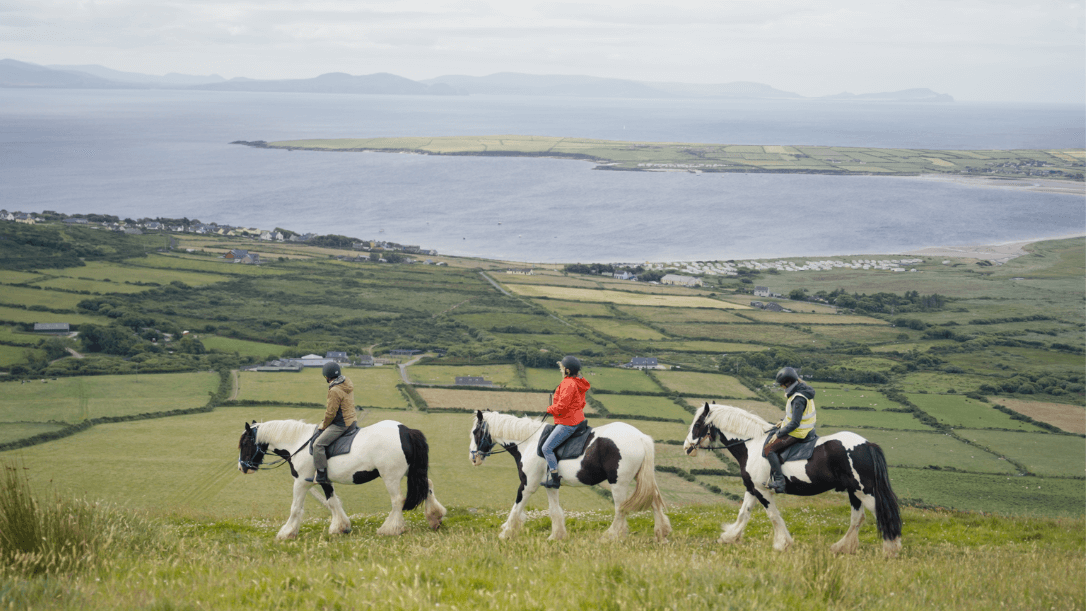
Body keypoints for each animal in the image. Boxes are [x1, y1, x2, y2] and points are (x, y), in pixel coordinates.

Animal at [237, 418, 445, 538]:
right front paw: (340, 527)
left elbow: (295, 508)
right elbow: (332, 502)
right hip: (412, 471)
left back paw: (390, 529)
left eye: (245, 443)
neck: (297, 443)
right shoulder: (324, 480)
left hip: (390, 476)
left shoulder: (301, 482)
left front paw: (286, 532)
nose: (242, 467)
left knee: (397, 500)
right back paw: (435, 518)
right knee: (428, 485)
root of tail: (406, 431)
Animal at [471, 408, 673, 542]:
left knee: (620, 509)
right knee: (653, 503)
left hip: (618, 483)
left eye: (475, 432)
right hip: (641, 479)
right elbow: (554, 510)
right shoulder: (550, 485)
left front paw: (505, 533)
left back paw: (610, 536)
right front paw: (556, 536)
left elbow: (516, 508)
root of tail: (640, 437)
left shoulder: (527, 485)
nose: (473, 458)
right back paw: (661, 535)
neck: (529, 442)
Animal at [682, 403, 903, 555]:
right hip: (854, 491)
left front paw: (782, 544)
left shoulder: (762, 490)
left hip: (864, 490)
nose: (687, 447)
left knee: (881, 513)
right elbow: (744, 513)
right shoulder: (752, 488)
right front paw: (728, 537)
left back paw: (891, 548)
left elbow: (773, 515)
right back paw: (841, 547)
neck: (751, 444)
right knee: (858, 518)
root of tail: (867, 445)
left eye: (698, 424)